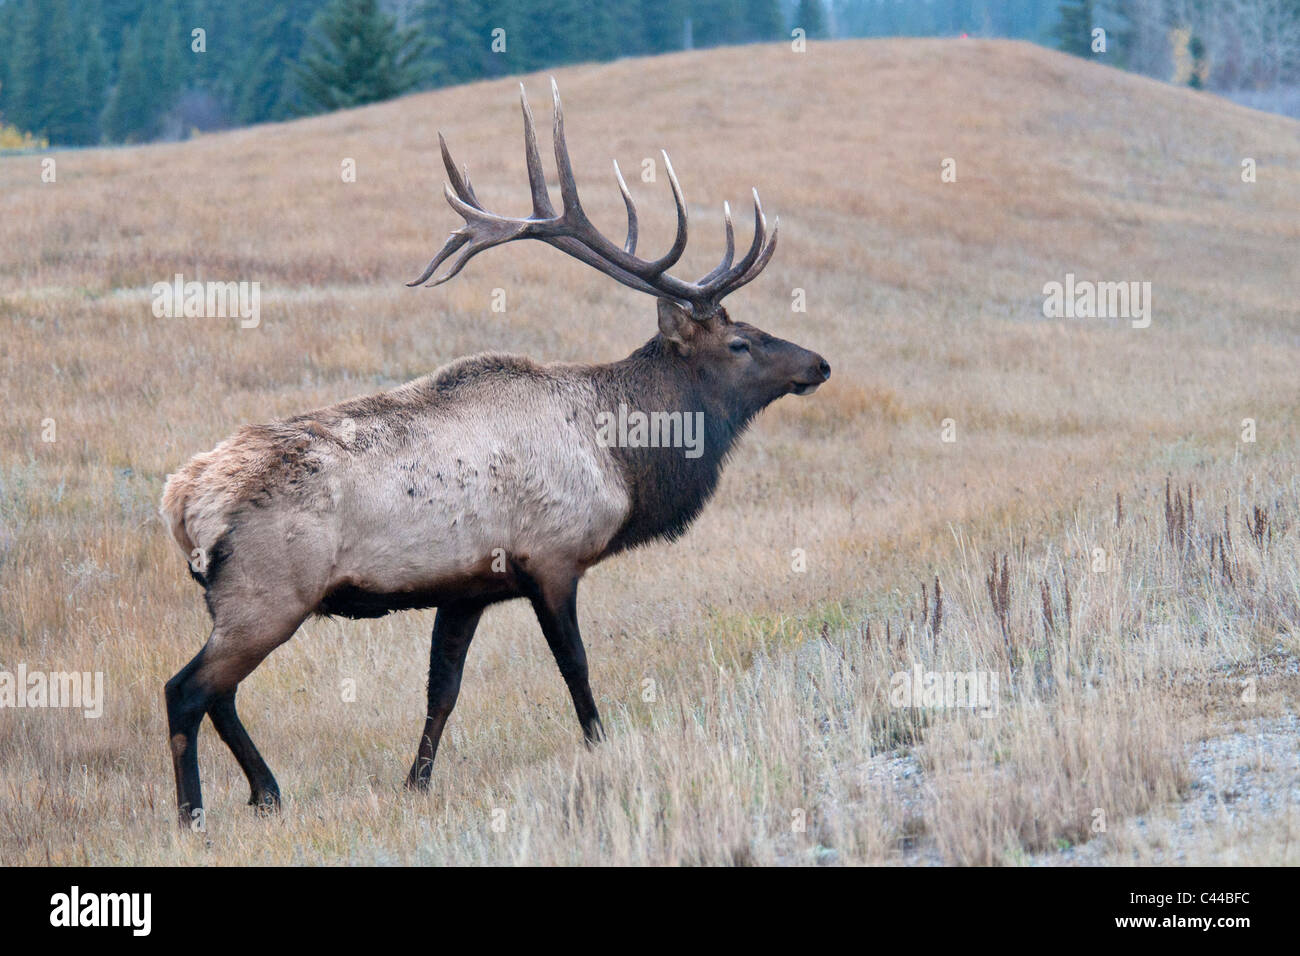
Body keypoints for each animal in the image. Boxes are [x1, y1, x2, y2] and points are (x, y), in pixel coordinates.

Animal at [162, 82, 826, 827]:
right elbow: (575, 666)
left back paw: (267, 793)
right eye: (740, 343)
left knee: (219, 694)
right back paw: (194, 815)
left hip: (244, 602)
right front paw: (600, 745)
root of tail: (181, 500)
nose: (818, 363)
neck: (622, 461)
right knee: (186, 690)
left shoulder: (468, 587)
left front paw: (417, 782)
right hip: (266, 592)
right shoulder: (553, 557)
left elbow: (442, 690)